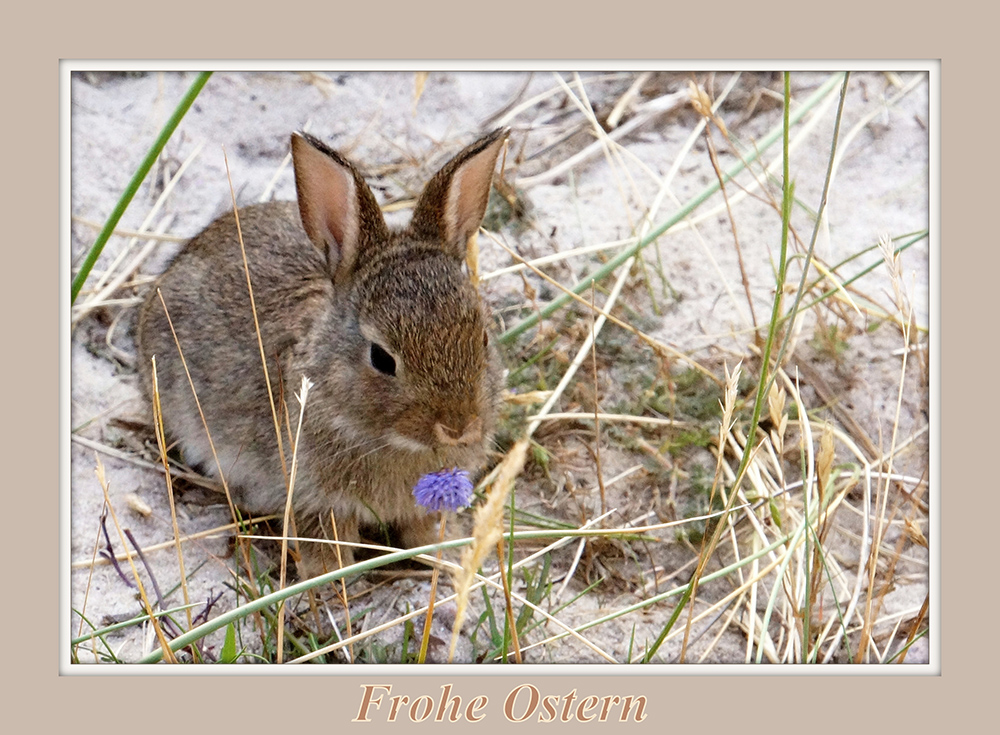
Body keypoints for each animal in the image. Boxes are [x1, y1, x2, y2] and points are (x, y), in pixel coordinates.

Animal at [137, 129, 508, 580]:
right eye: (381, 358)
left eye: (483, 338)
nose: (457, 427)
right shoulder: (314, 497)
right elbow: (326, 543)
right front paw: (328, 579)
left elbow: (422, 530)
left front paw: (445, 556)